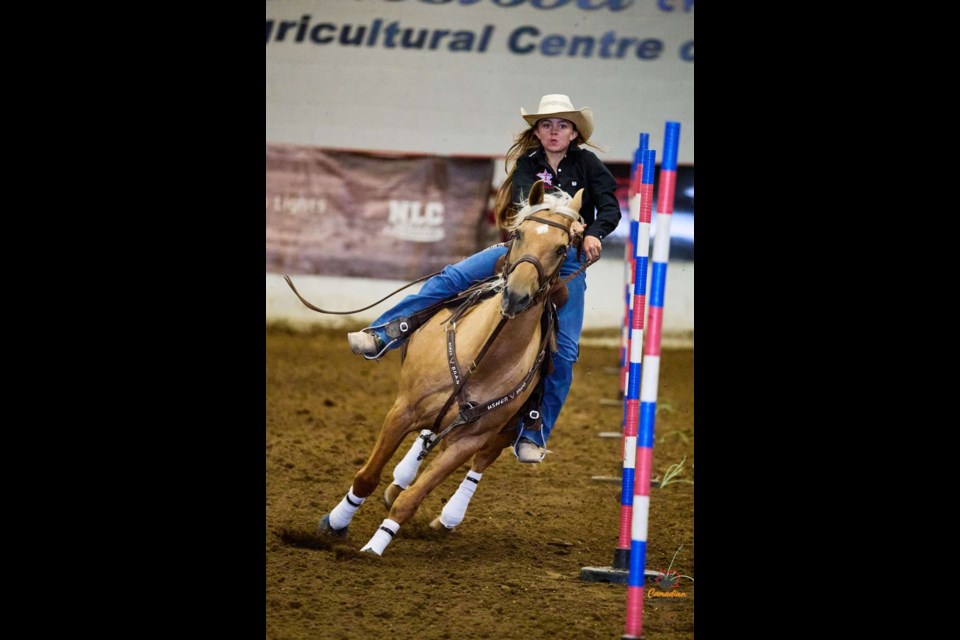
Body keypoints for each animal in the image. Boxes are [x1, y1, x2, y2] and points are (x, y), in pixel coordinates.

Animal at [318, 180, 584, 556]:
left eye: (562, 248)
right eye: (518, 234)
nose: (516, 295)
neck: (482, 359)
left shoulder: (469, 440)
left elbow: (413, 499)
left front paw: (375, 547)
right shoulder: (403, 410)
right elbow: (367, 476)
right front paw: (336, 523)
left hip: (504, 432)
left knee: (477, 464)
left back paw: (447, 517)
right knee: (425, 439)